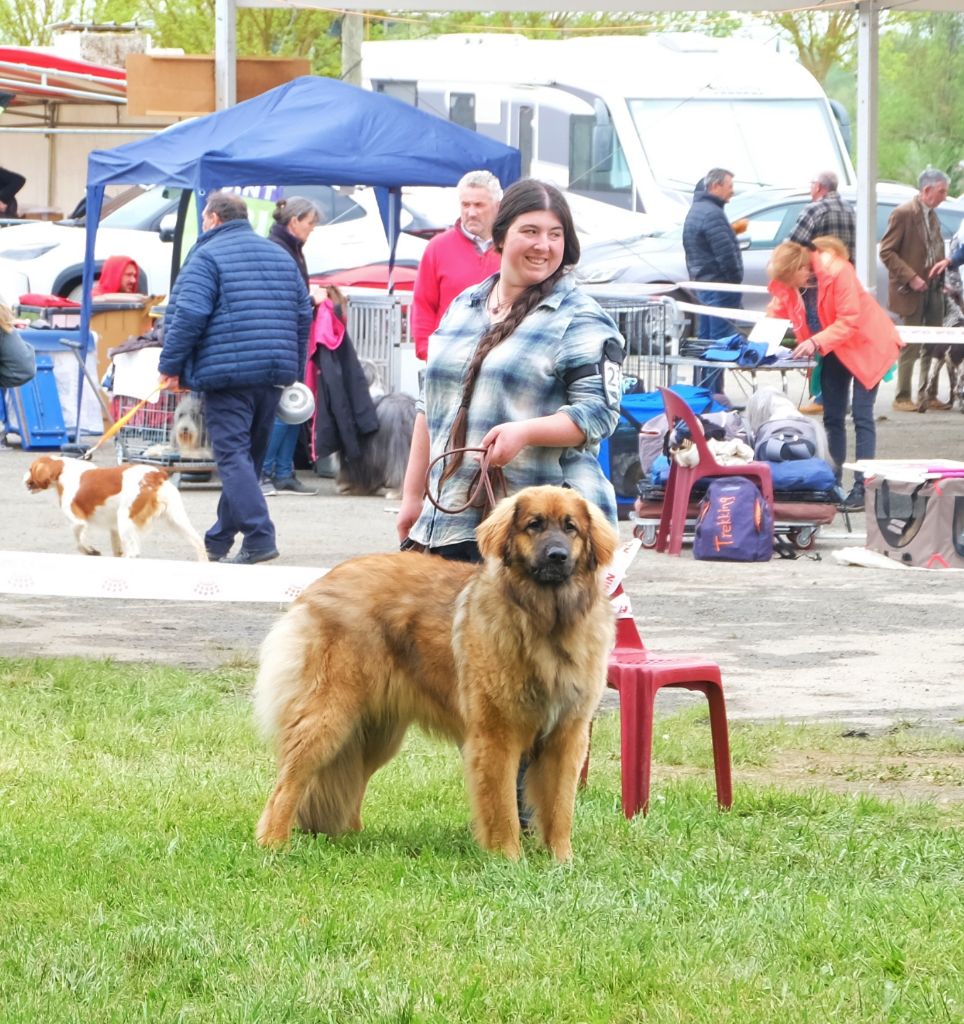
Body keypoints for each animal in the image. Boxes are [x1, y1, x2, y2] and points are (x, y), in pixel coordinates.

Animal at [23, 458, 208, 565]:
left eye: (30, 469)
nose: (24, 479)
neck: (63, 469)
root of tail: (155, 475)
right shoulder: (113, 529)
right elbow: (115, 548)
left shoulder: (77, 521)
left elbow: (79, 542)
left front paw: (91, 551)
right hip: (177, 519)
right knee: (199, 541)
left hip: (125, 519)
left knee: (133, 553)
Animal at [256, 483, 618, 860]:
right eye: (534, 525)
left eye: (571, 528)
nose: (557, 556)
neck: (546, 622)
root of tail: (316, 585)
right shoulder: (497, 735)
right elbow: (504, 807)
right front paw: (508, 857)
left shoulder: (567, 735)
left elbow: (560, 807)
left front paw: (561, 859)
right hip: (328, 716)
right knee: (288, 781)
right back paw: (273, 842)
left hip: (374, 733)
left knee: (347, 779)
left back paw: (350, 837)